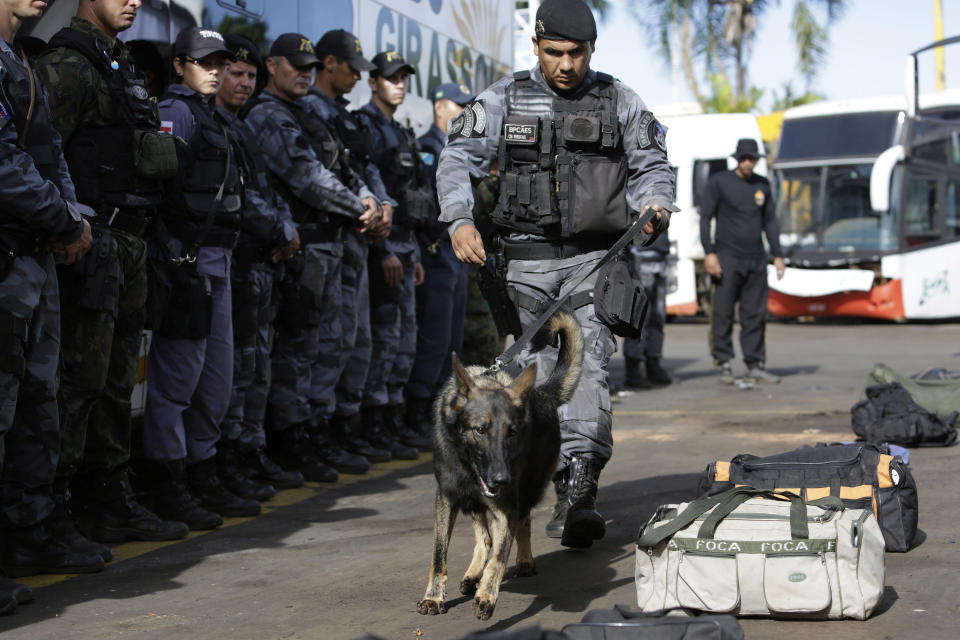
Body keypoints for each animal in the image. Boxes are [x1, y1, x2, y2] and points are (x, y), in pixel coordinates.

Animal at [414, 310, 580, 620]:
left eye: (511, 432)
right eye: (480, 430)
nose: (502, 479)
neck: (466, 464)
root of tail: (542, 393)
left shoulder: (505, 507)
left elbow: (500, 555)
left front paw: (487, 595)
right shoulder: (448, 498)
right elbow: (439, 554)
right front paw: (434, 597)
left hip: (527, 490)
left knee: (522, 523)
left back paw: (522, 561)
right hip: (475, 500)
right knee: (485, 538)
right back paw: (472, 575)